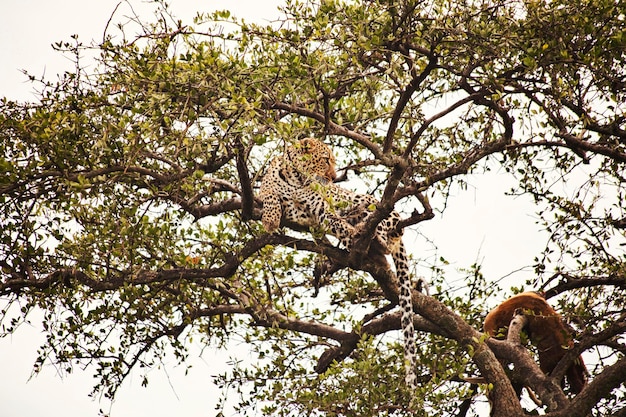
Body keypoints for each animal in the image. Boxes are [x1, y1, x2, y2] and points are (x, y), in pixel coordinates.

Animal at [256, 138, 422, 388]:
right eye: (326, 160)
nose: (333, 178)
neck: (295, 178)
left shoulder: (322, 209)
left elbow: (338, 224)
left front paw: (354, 235)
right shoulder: (267, 193)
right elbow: (270, 195)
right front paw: (270, 219)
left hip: (368, 203)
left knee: (386, 230)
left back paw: (374, 238)